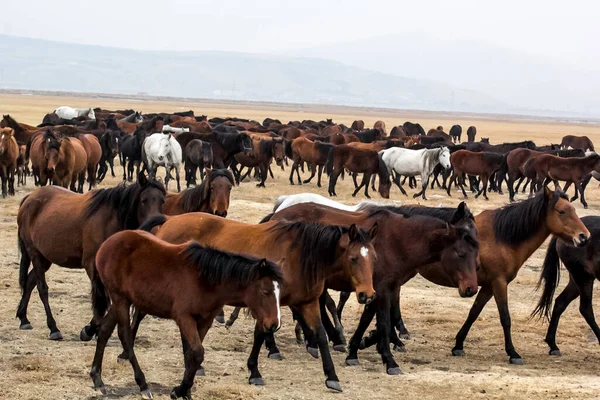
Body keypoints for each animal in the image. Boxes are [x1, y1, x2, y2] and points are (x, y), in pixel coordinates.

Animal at [17, 172, 166, 340]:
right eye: (143, 200)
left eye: (162, 200)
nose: (155, 228)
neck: (109, 220)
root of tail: (29, 198)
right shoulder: (92, 264)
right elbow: (101, 297)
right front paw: (90, 329)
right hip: (34, 253)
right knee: (42, 287)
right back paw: (53, 328)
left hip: (45, 258)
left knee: (30, 281)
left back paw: (23, 318)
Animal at [134, 212, 378, 390]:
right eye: (353, 258)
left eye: (373, 258)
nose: (367, 294)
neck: (297, 256)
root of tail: (169, 220)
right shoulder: (267, 304)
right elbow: (261, 334)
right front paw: (254, 372)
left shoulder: (307, 303)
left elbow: (320, 336)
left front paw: (332, 376)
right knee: (139, 313)